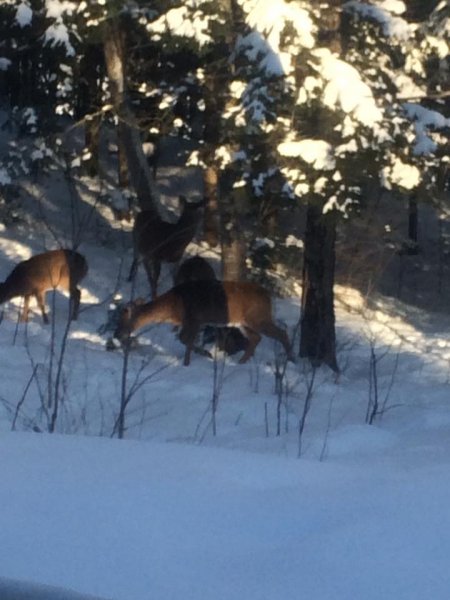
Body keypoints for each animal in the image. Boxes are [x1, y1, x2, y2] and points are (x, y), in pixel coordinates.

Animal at [114, 279, 294, 366]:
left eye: (123, 320)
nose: (116, 334)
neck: (174, 307)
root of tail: (268, 296)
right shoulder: (195, 321)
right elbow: (186, 340)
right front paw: (194, 359)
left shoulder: (193, 318)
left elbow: (184, 339)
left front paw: (199, 357)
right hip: (243, 322)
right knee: (256, 338)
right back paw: (241, 363)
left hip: (258, 318)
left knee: (282, 333)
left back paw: (291, 359)